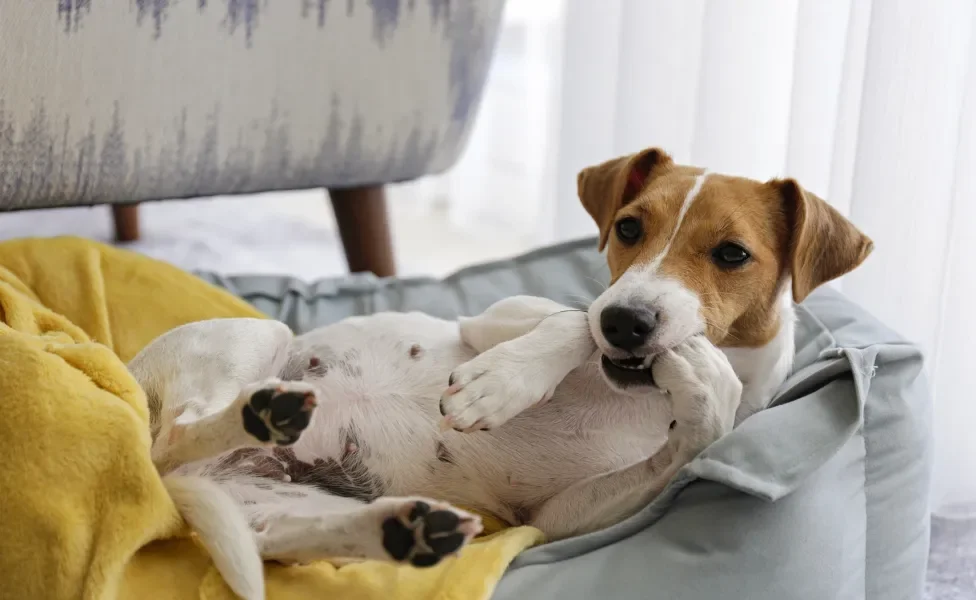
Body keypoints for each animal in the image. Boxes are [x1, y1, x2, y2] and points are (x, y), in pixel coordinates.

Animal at [132, 146, 876, 600]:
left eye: (731, 254)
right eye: (628, 228)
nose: (627, 321)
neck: (641, 397)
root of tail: (170, 481)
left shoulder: (560, 516)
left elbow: (701, 430)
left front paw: (707, 386)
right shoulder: (496, 318)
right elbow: (569, 321)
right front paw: (502, 385)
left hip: (285, 504)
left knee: (290, 532)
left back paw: (402, 529)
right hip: (260, 339)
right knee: (188, 427)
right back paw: (266, 413)